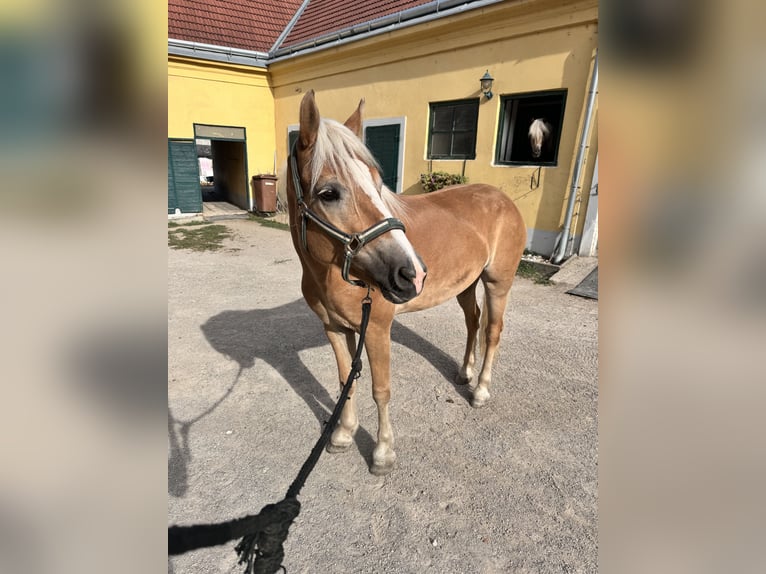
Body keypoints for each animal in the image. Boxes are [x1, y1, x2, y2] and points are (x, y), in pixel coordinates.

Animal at [288, 91, 528, 476]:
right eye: (327, 193)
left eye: (377, 183)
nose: (412, 272)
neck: (329, 273)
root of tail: (501, 197)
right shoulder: (334, 328)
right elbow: (344, 381)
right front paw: (342, 435)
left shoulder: (376, 329)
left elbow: (381, 389)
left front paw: (383, 452)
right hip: (465, 284)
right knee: (473, 321)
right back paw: (464, 373)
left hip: (497, 283)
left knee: (492, 330)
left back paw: (480, 390)